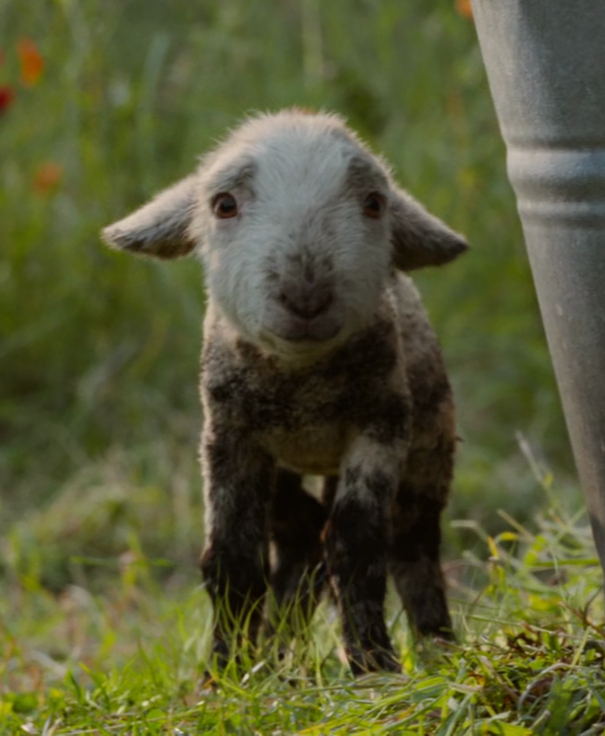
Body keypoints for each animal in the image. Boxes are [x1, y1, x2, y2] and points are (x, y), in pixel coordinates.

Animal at [102, 109, 467, 675]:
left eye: (374, 203)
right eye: (224, 205)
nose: (306, 295)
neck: (302, 387)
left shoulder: (381, 426)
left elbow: (358, 544)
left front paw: (373, 665)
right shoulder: (229, 439)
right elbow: (231, 557)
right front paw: (226, 673)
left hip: (429, 446)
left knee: (413, 547)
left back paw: (437, 650)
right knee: (299, 539)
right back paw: (277, 658)